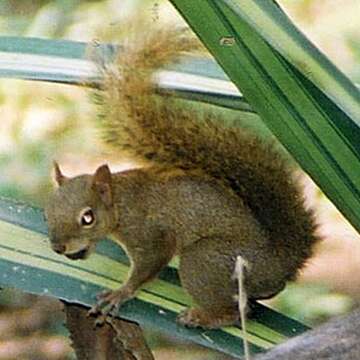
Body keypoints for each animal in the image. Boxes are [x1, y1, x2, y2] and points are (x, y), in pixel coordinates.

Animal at [43, 23, 320, 330]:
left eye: (87, 218)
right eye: (46, 212)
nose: (57, 247)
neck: (122, 203)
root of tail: (280, 263)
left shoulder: (150, 234)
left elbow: (150, 264)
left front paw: (120, 293)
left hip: (206, 262)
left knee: (238, 312)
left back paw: (199, 317)